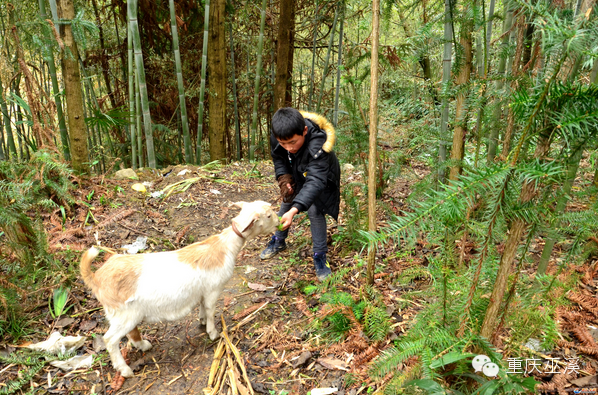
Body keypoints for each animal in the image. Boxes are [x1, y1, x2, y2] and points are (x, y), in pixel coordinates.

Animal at [79, 201, 282, 378]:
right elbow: (211, 311)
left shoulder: (203, 291)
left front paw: (201, 321)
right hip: (123, 314)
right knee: (110, 339)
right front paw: (213, 333)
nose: (280, 221)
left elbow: (203, 308)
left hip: (126, 314)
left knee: (130, 332)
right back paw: (125, 370)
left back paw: (143, 345)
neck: (224, 247)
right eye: (268, 215)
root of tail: (96, 278)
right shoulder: (213, 290)